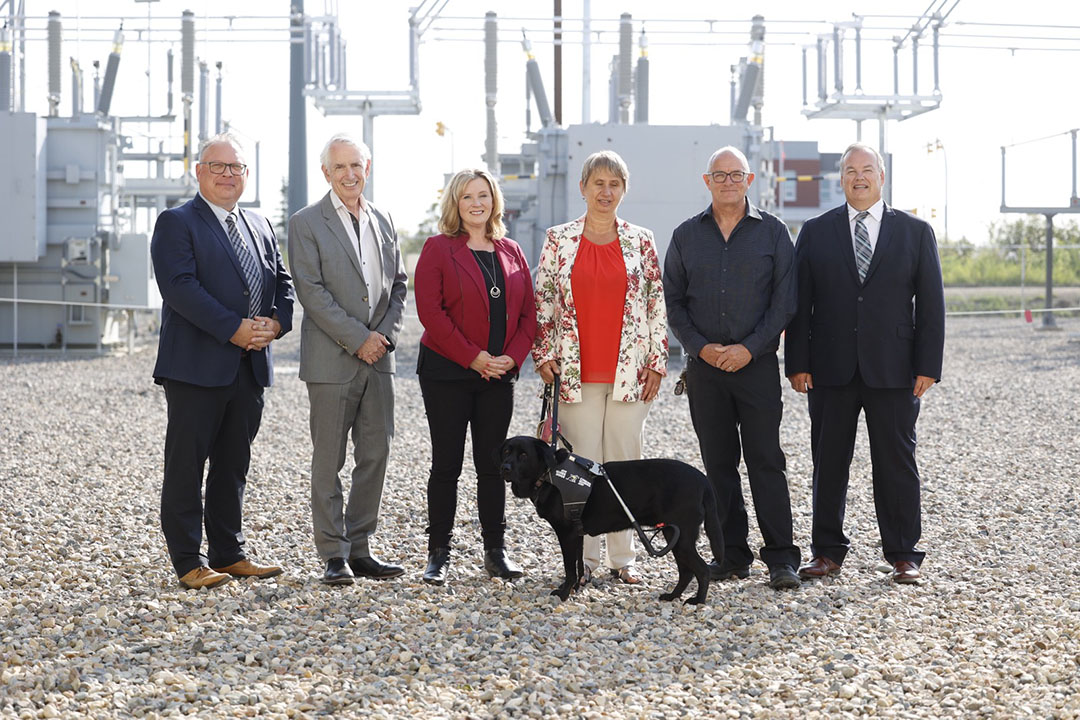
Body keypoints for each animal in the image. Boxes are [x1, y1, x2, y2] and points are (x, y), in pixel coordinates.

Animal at [498, 436, 725, 604]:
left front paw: (563, 594)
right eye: (507, 451)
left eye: (524, 455)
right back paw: (672, 596)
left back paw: (697, 601)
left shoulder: (567, 533)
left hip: (681, 537)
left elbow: (569, 568)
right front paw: (575, 588)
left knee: (702, 569)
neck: (548, 474)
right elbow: (578, 565)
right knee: (687, 572)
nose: (505, 468)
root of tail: (702, 479)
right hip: (675, 537)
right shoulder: (577, 534)